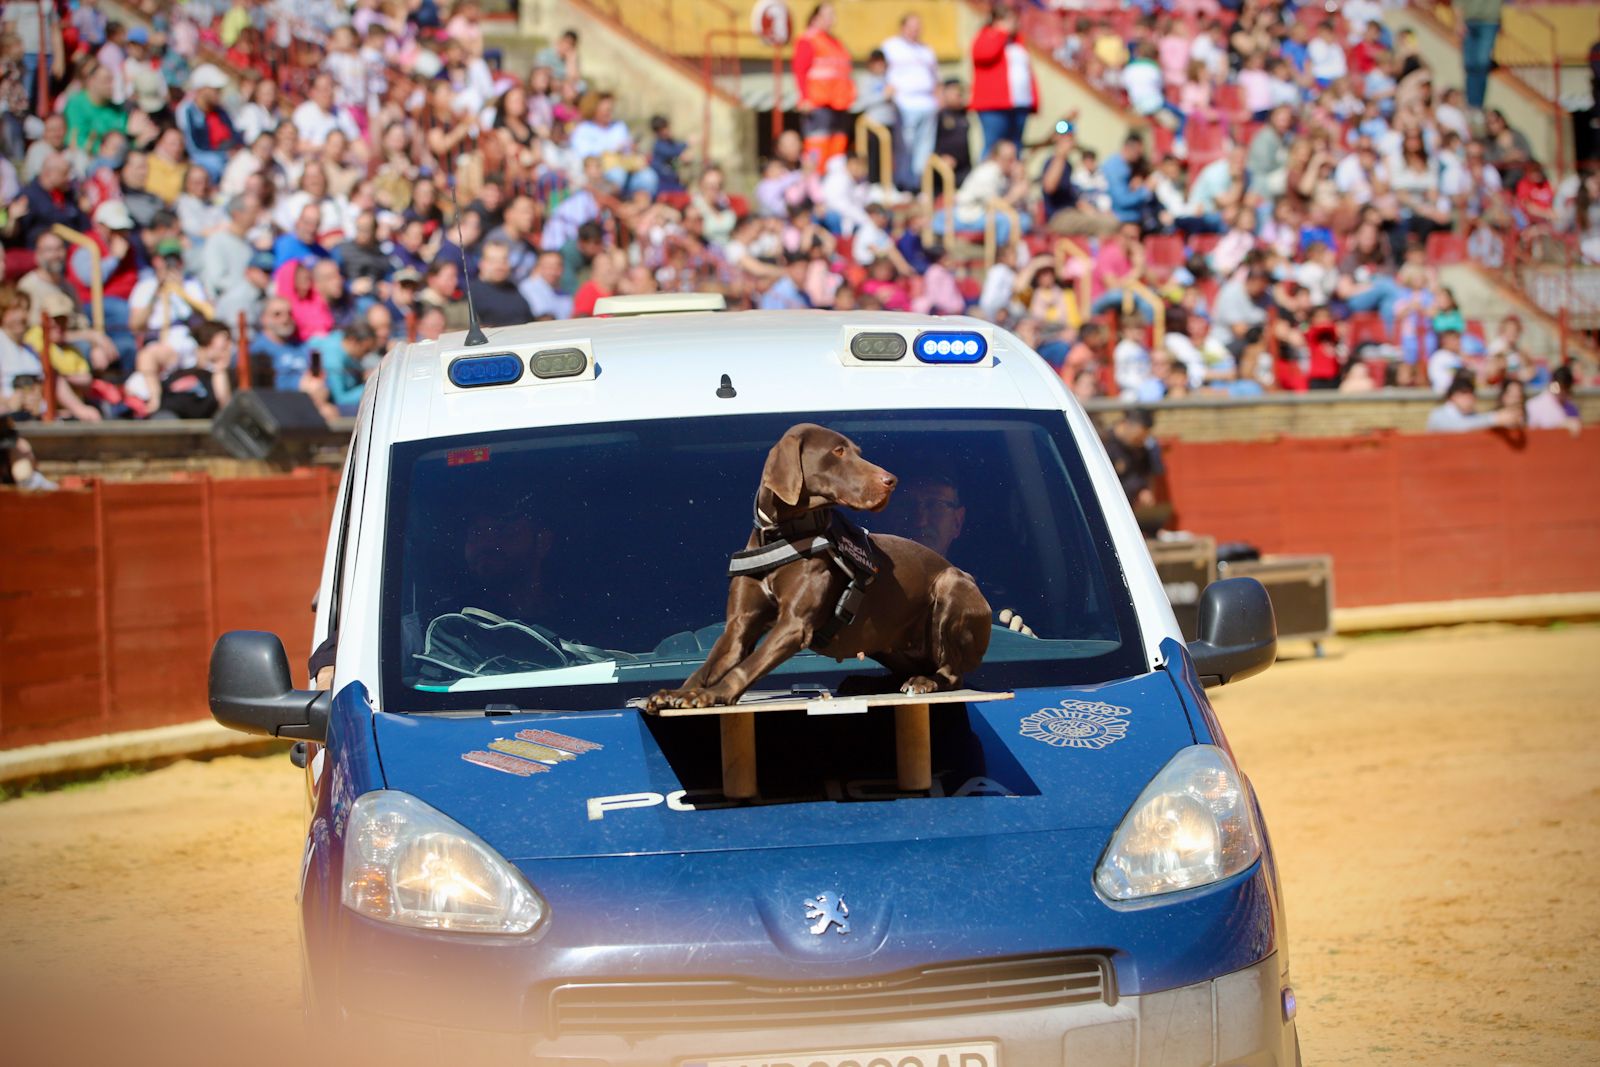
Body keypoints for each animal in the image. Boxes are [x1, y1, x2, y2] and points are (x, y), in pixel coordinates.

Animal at [643, 422, 992, 710]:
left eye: (857, 452)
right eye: (838, 451)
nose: (891, 481)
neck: (782, 534)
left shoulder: (793, 625)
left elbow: (747, 666)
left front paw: (711, 695)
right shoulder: (739, 626)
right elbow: (711, 665)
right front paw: (681, 692)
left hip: (952, 585)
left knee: (951, 673)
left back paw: (924, 682)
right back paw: (867, 681)